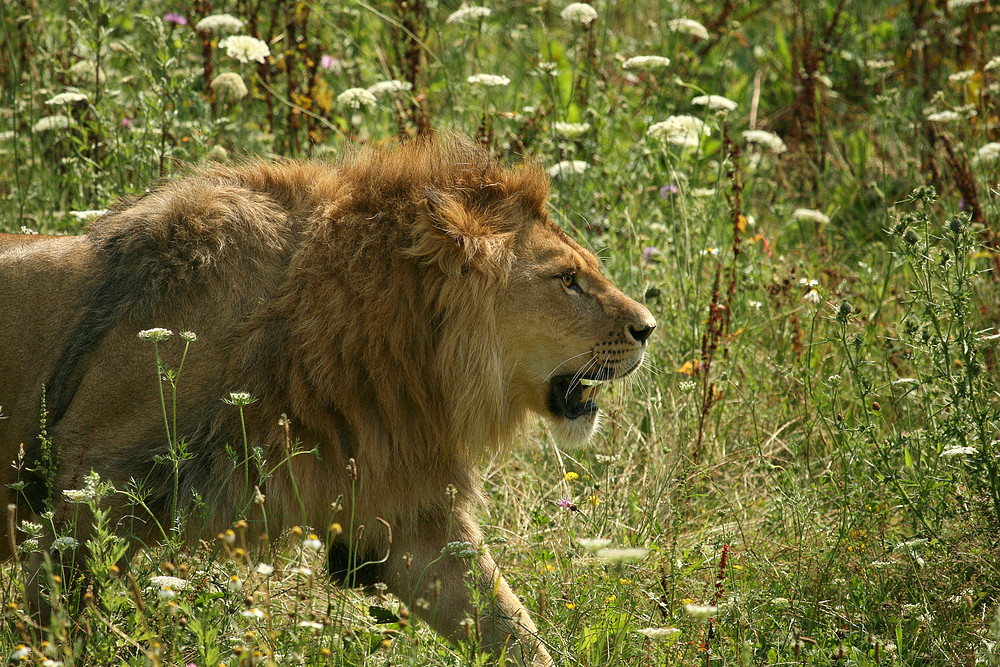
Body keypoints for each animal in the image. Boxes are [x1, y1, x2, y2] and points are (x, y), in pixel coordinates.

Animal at [0, 134, 656, 664]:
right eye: (567, 280)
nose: (649, 328)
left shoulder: (406, 506)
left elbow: (509, 624)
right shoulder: (91, 485)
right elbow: (51, 620)